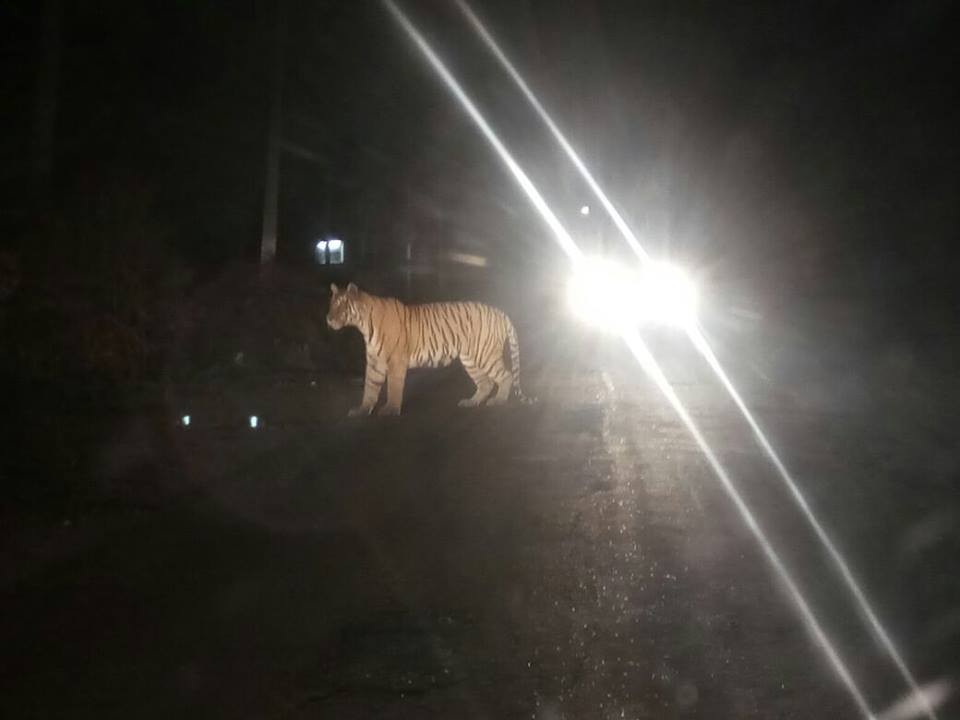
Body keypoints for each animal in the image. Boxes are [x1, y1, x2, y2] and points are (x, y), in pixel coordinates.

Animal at [326, 282, 529, 416]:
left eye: (341, 304)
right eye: (331, 303)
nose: (328, 318)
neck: (363, 325)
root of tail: (500, 312)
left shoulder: (396, 361)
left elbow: (393, 387)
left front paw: (390, 410)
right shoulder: (375, 362)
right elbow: (369, 387)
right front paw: (361, 410)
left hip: (486, 354)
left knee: (506, 375)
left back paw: (498, 401)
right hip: (470, 359)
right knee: (485, 383)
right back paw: (471, 402)